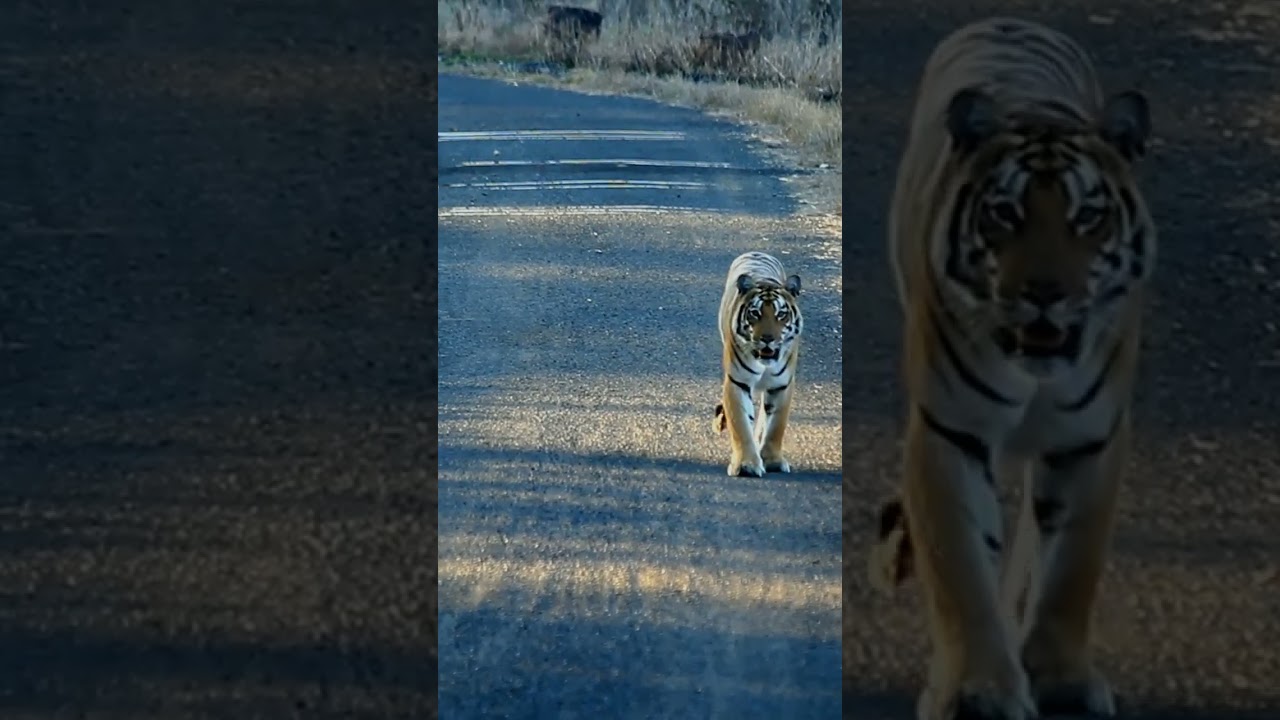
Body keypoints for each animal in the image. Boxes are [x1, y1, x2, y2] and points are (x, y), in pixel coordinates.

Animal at [712, 251, 803, 477]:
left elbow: (776, 425)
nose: (767, 338)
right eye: (755, 313)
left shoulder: (782, 385)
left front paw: (772, 461)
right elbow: (741, 425)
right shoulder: (737, 382)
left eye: (781, 314)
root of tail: (757, 252)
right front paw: (746, 464)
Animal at [865, 17, 1156, 720]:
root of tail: (1012, 21)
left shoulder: (1089, 439)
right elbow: (960, 566)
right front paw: (979, 691)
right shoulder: (949, 431)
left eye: (1088, 217)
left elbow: (1072, 565)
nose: (1044, 292)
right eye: (1005, 214)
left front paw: (1061, 681)